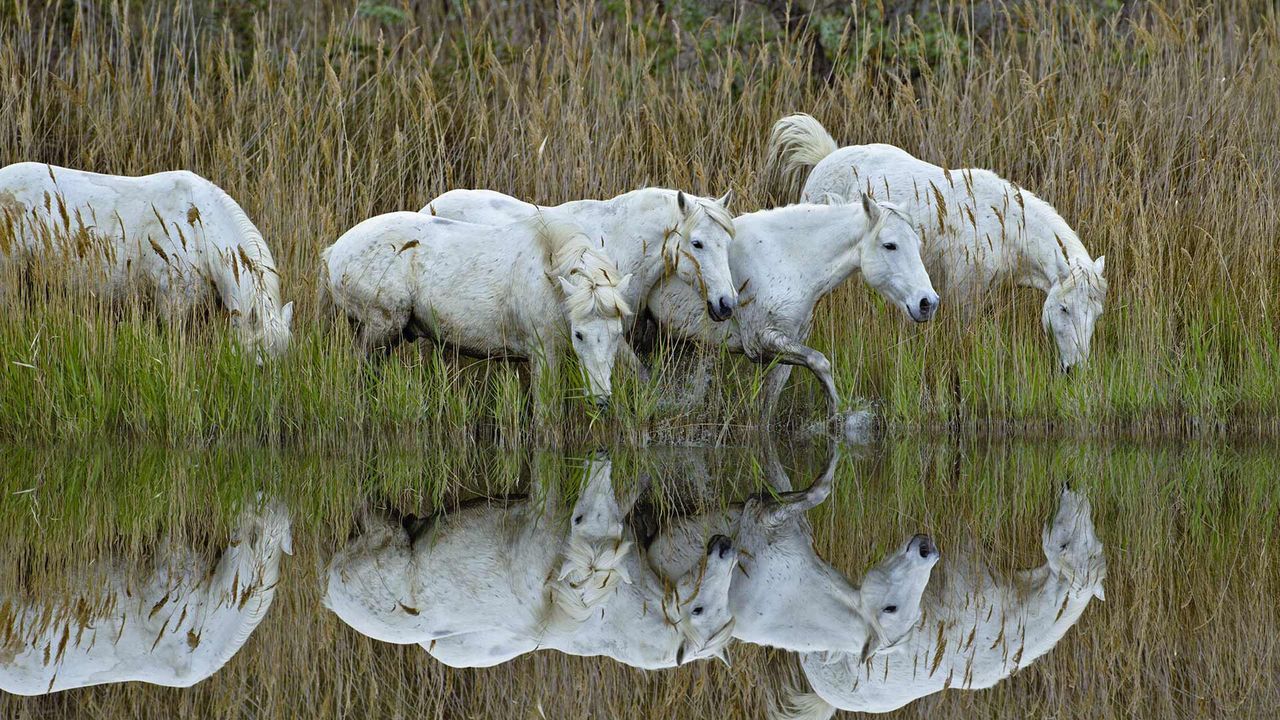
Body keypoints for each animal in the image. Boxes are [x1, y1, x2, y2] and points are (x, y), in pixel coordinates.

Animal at [320, 214, 632, 406]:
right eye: (579, 335)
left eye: (617, 333)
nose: (601, 400)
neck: (548, 272)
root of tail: (334, 251)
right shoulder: (544, 356)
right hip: (380, 331)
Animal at [644, 193, 939, 422]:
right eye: (890, 245)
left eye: (917, 244)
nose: (928, 303)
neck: (785, 258)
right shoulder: (763, 340)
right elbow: (821, 363)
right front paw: (838, 417)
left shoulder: (785, 351)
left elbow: (768, 409)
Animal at [646, 442, 939, 661]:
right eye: (891, 609)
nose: (929, 550)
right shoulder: (767, 512)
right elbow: (811, 489)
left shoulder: (763, 514)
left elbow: (816, 491)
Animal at [764, 115, 1108, 372]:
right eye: (1063, 308)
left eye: (1096, 314)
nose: (1076, 369)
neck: (1006, 224)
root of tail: (827, 157)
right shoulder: (963, 293)